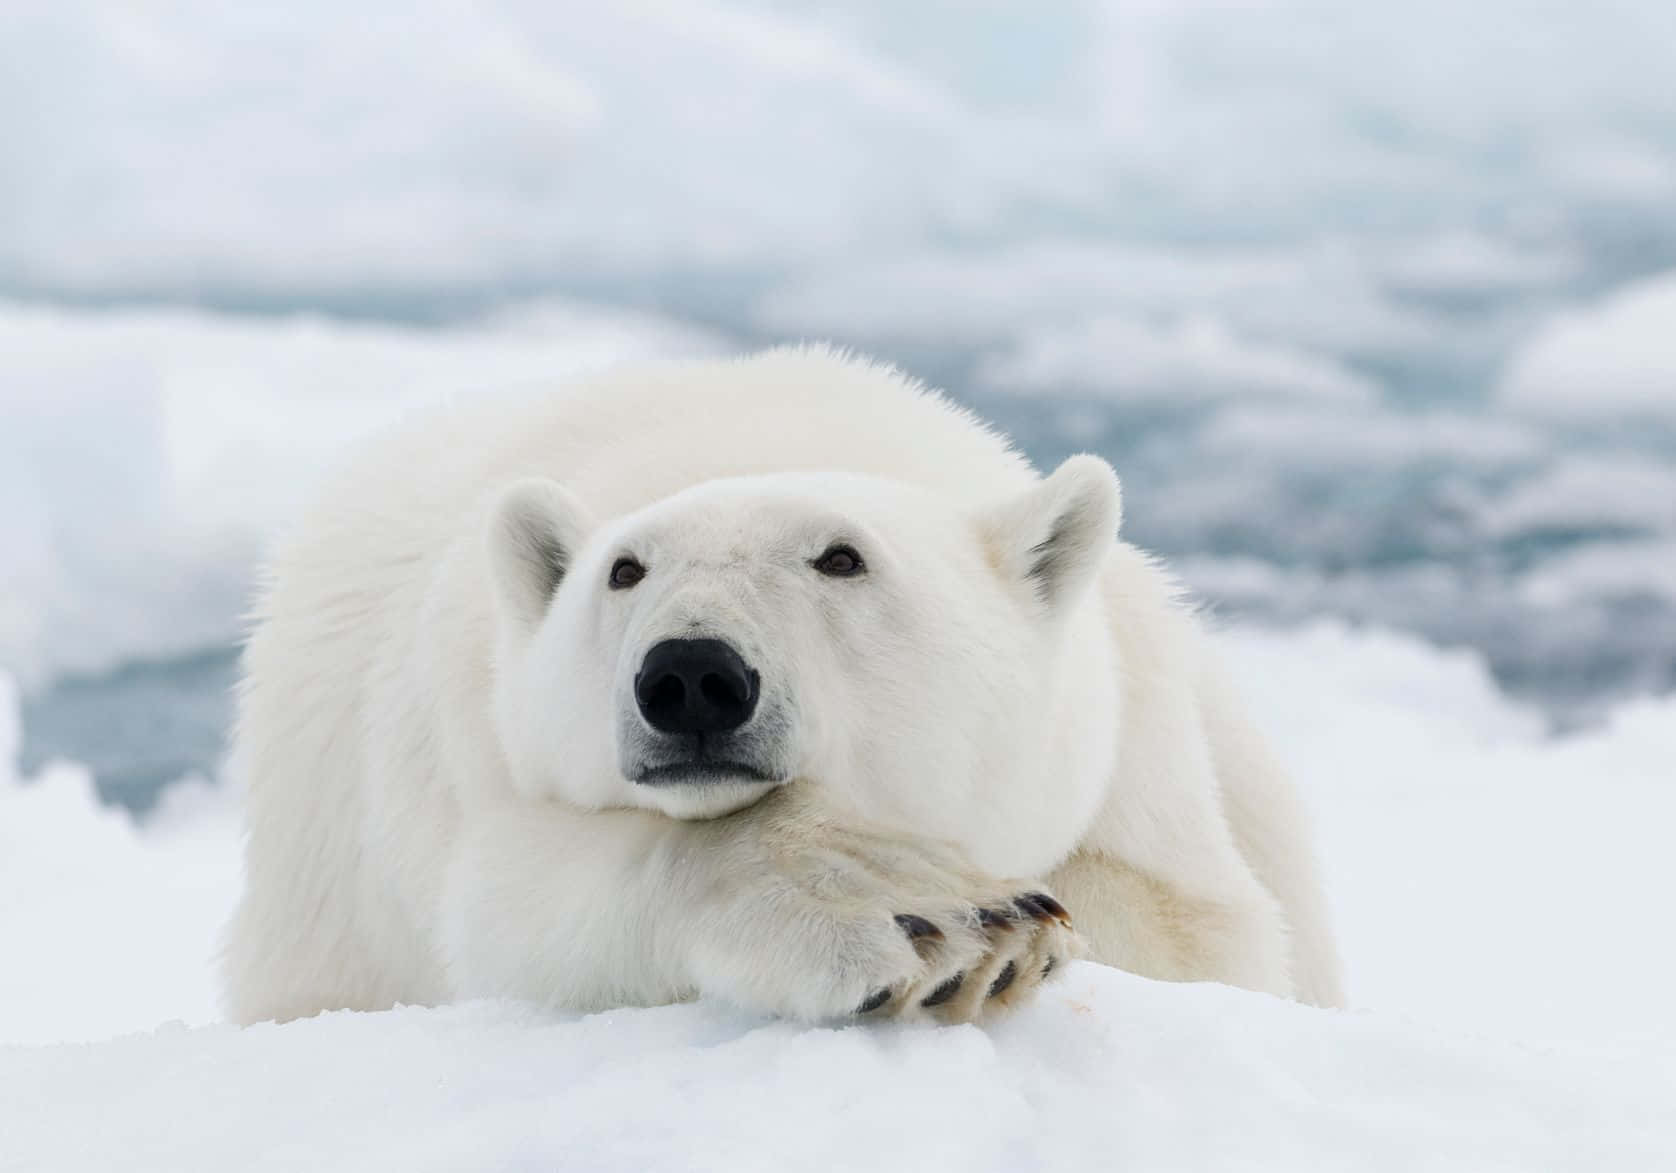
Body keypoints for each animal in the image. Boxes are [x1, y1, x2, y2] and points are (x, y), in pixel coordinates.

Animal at [222, 345, 1345, 1026]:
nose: (690, 676)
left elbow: (1199, 930)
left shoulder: (1135, 750)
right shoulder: (469, 753)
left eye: (841, 558)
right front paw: (930, 916)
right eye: (623, 569)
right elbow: (520, 900)